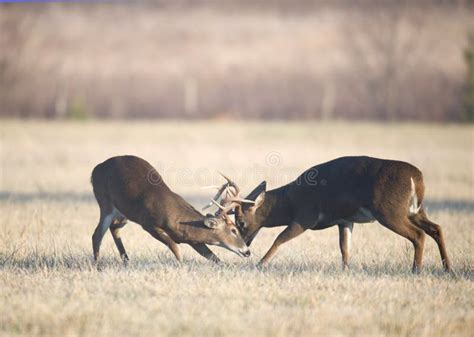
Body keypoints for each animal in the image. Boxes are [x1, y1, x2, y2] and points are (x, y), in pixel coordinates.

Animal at [90, 155, 250, 262]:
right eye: (233, 230)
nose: (247, 251)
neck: (178, 221)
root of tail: (95, 170)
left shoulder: (193, 240)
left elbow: (213, 257)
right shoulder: (149, 224)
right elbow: (175, 247)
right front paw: (181, 266)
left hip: (123, 213)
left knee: (113, 228)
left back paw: (126, 261)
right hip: (105, 203)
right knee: (97, 235)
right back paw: (98, 265)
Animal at [207, 156, 452, 272]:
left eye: (240, 221)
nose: (245, 246)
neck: (291, 201)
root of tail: (416, 178)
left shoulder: (306, 216)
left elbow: (279, 238)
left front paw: (261, 264)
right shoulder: (344, 220)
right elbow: (345, 249)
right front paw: (346, 270)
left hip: (390, 211)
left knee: (418, 235)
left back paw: (416, 270)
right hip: (415, 209)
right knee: (436, 228)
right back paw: (447, 268)